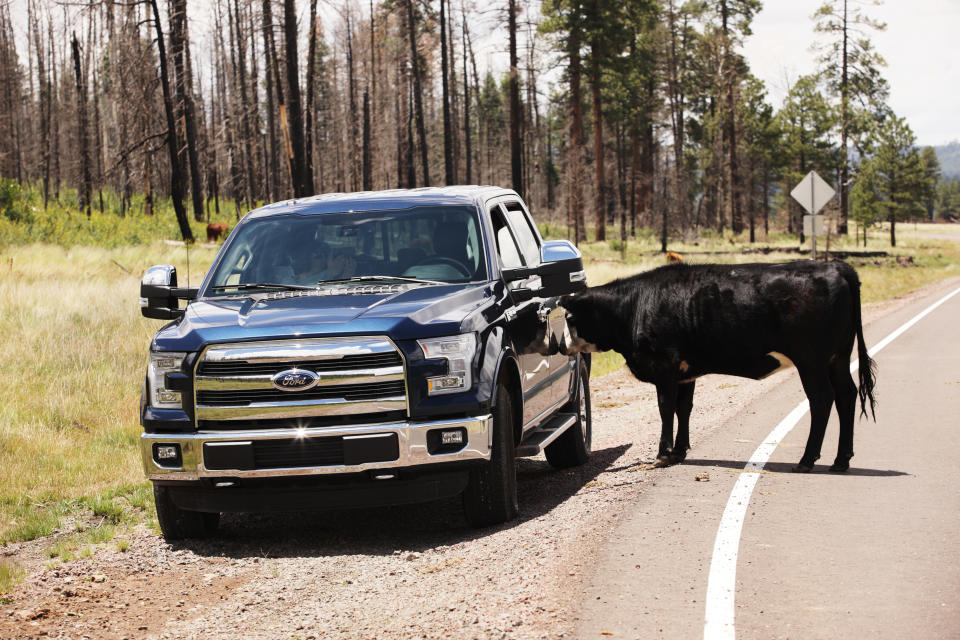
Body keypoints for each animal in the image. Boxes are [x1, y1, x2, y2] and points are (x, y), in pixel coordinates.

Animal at [556, 258, 876, 472]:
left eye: (568, 317)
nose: (559, 347)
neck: (635, 306)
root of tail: (834, 266)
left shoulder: (664, 368)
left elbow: (665, 409)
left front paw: (663, 454)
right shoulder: (685, 373)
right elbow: (683, 408)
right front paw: (680, 451)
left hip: (811, 361)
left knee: (822, 399)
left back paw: (807, 460)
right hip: (838, 358)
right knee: (846, 396)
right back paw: (840, 460)